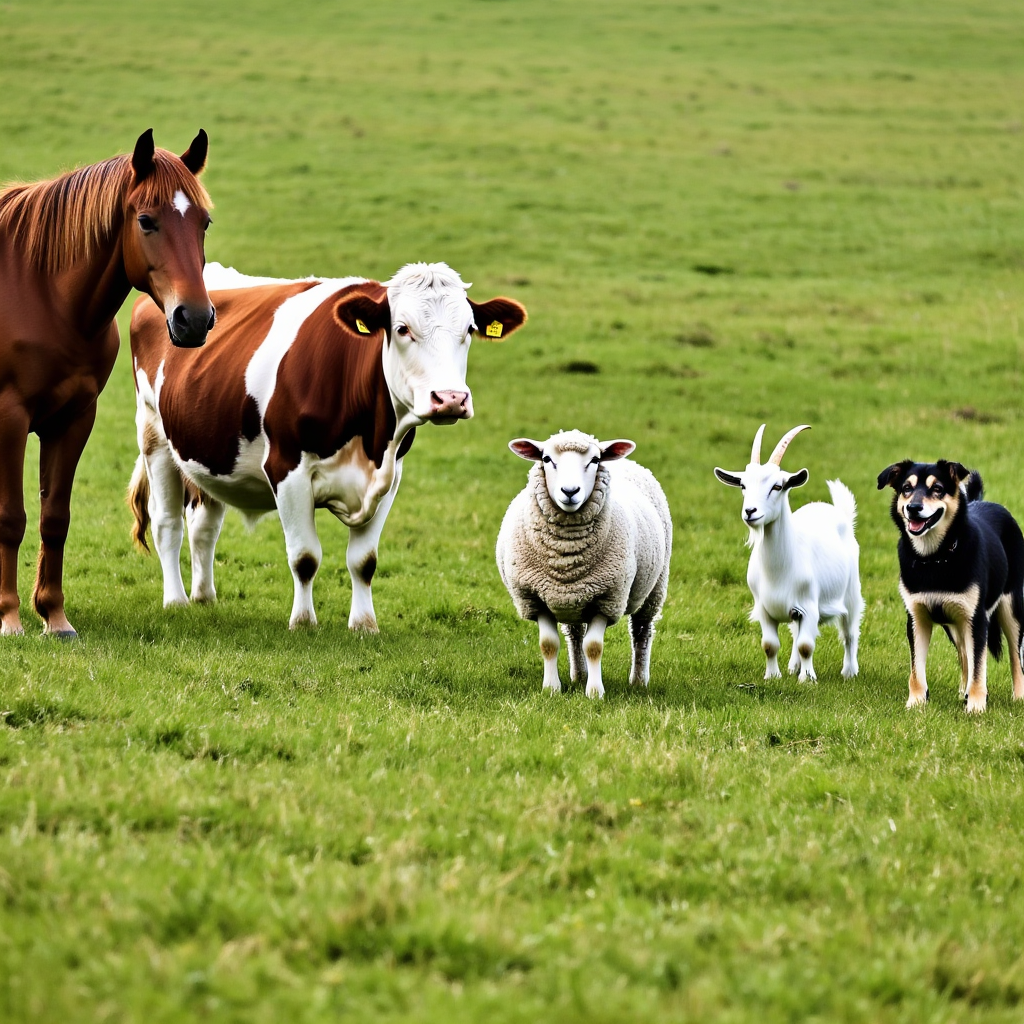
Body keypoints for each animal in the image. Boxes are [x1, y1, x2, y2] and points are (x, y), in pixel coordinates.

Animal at [0, 128, 215, 637]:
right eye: (146, 220)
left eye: (204, 222)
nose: (195, 319)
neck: (42, 293)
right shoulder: (10, 418)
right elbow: (12, 518)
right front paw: (10, 617)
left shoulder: (75, 418)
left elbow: (55, 517)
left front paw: (54, 616)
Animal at [127, 261, 527, 631]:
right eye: (402, 329)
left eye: (468, 331)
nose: (450, 399)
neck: (370, 441)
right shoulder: (287, 469)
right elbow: (305, 557)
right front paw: (303, 622)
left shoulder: (391, 476)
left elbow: (364, 561)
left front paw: (364, 625)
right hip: (153, 435)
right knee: (167, 524)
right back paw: (176, 601)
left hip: (209, 448)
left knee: (204, 524)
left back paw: (204, 597)